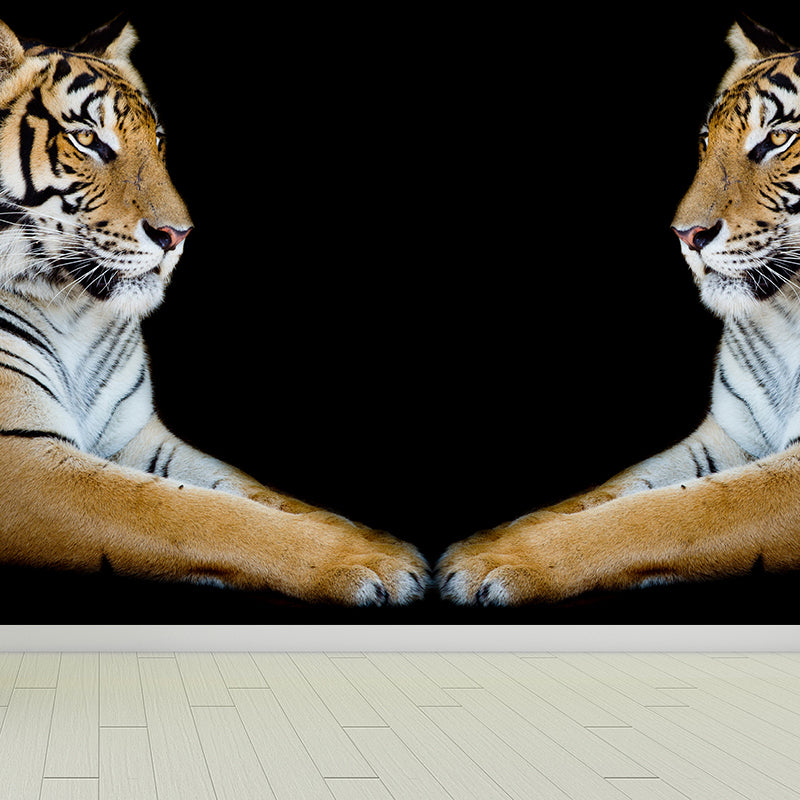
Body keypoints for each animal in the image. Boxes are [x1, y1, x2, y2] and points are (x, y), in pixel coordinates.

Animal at [0, 16, 429, 605]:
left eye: (157, 140)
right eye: (86, 138)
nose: (177, 235)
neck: (73, 310)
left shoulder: (135, 435)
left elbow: (254, 490)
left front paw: (381, 541)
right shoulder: (24, 460)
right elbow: (194, 511)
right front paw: (372, 561)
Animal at [437, 16, 800, 606]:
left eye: (777, 139)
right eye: (706, 140)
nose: (685, 235)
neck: (788, 310)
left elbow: (674, 510)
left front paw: (494, 561)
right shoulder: (729, 434)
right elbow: (612, 490)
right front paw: (483, 542)